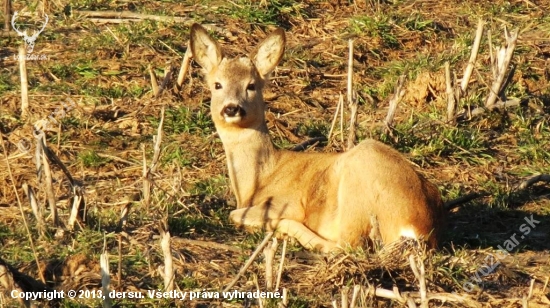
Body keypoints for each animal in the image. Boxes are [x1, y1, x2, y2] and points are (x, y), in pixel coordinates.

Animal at [192, 24, 446, 253]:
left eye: (251, 85)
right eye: (217, 84)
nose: (232, 108)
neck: (260, 177)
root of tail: (417, 227)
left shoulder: (285, 203)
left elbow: (235, 214)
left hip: (358, 184)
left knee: (346, 245)